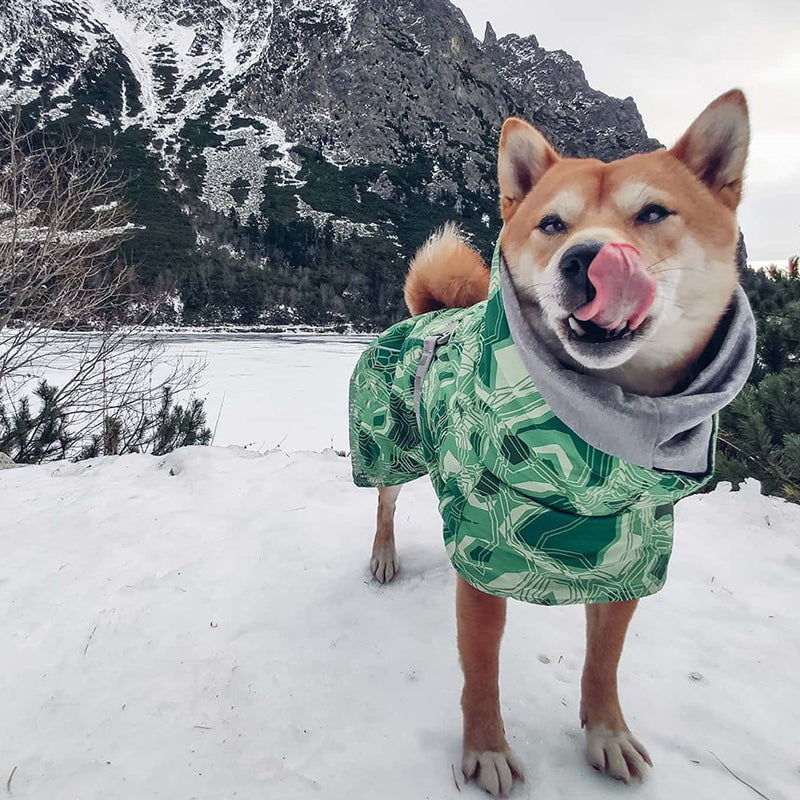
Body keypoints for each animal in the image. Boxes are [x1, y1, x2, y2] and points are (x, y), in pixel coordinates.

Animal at [348, 89, 756, 792]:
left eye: (653, 212)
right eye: (552, 224)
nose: (585, 259)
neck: (599, 438)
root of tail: (430, 312)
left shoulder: (632, 553)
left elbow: (604, 663)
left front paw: (606, 733)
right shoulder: (485, 553)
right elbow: (481, 672)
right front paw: (486, 749)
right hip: (386, 446)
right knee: (385, 502)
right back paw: (383, 556)